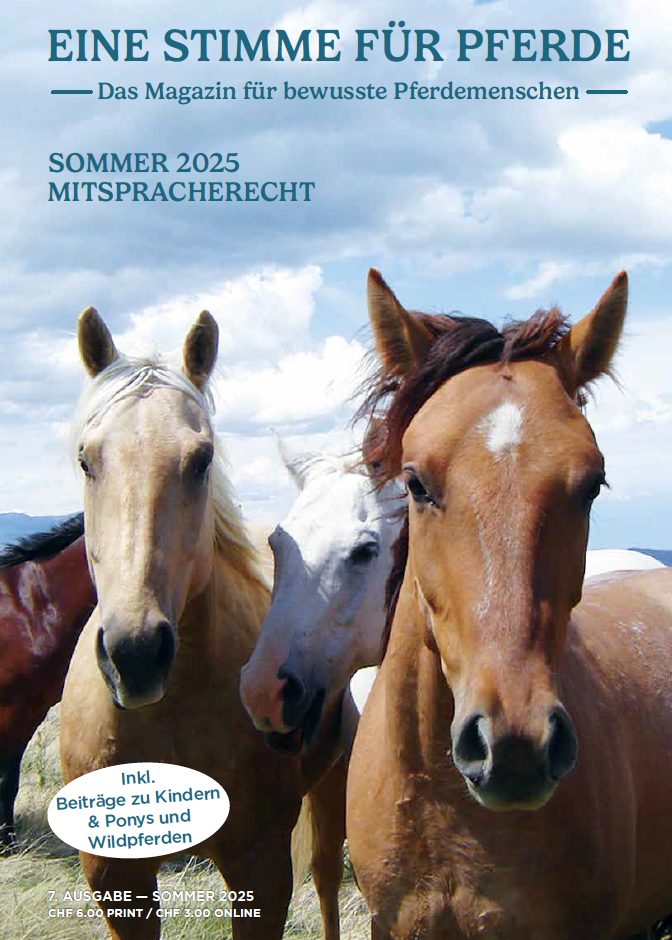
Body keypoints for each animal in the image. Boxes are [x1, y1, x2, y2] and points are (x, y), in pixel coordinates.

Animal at [60, 307, 347, 940]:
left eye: (202, 460)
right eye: (86, 460)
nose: (137, 653)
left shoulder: (260, 869)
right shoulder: (115, 875)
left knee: (328, 877)